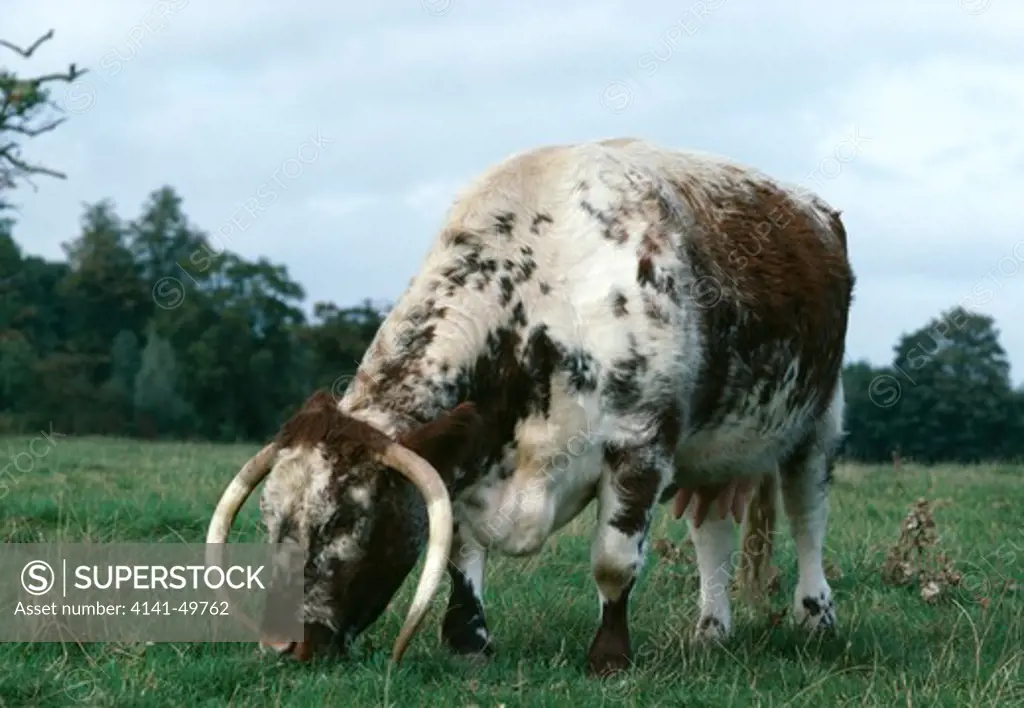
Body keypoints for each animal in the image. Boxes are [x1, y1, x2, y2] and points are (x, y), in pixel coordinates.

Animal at [203, 137, 851, 676]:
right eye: (270, 519)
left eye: (343, 520)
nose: (281, 645)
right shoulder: (467, 451)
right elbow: (460, 553)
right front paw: (468, 642)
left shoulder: (640, 445)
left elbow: (614, 560)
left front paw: (609, 659)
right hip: (713, 451)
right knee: (712, 531)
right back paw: (712, 631)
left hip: (819, 422)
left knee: (808, 516)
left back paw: (816, 618)